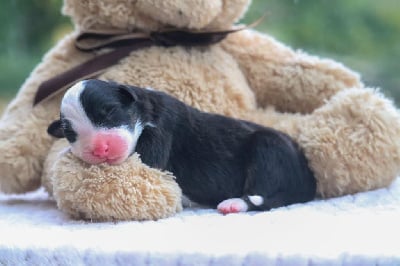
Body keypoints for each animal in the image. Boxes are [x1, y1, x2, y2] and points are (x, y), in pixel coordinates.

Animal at [47, 79, 316, 214]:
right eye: (71, 133)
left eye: (110, 111)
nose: (100, 149)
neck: (144, 110)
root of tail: (308, 179)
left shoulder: (159, 135)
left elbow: (144, 160)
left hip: (269, 148)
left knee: (265, 195)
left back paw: (234, 204)